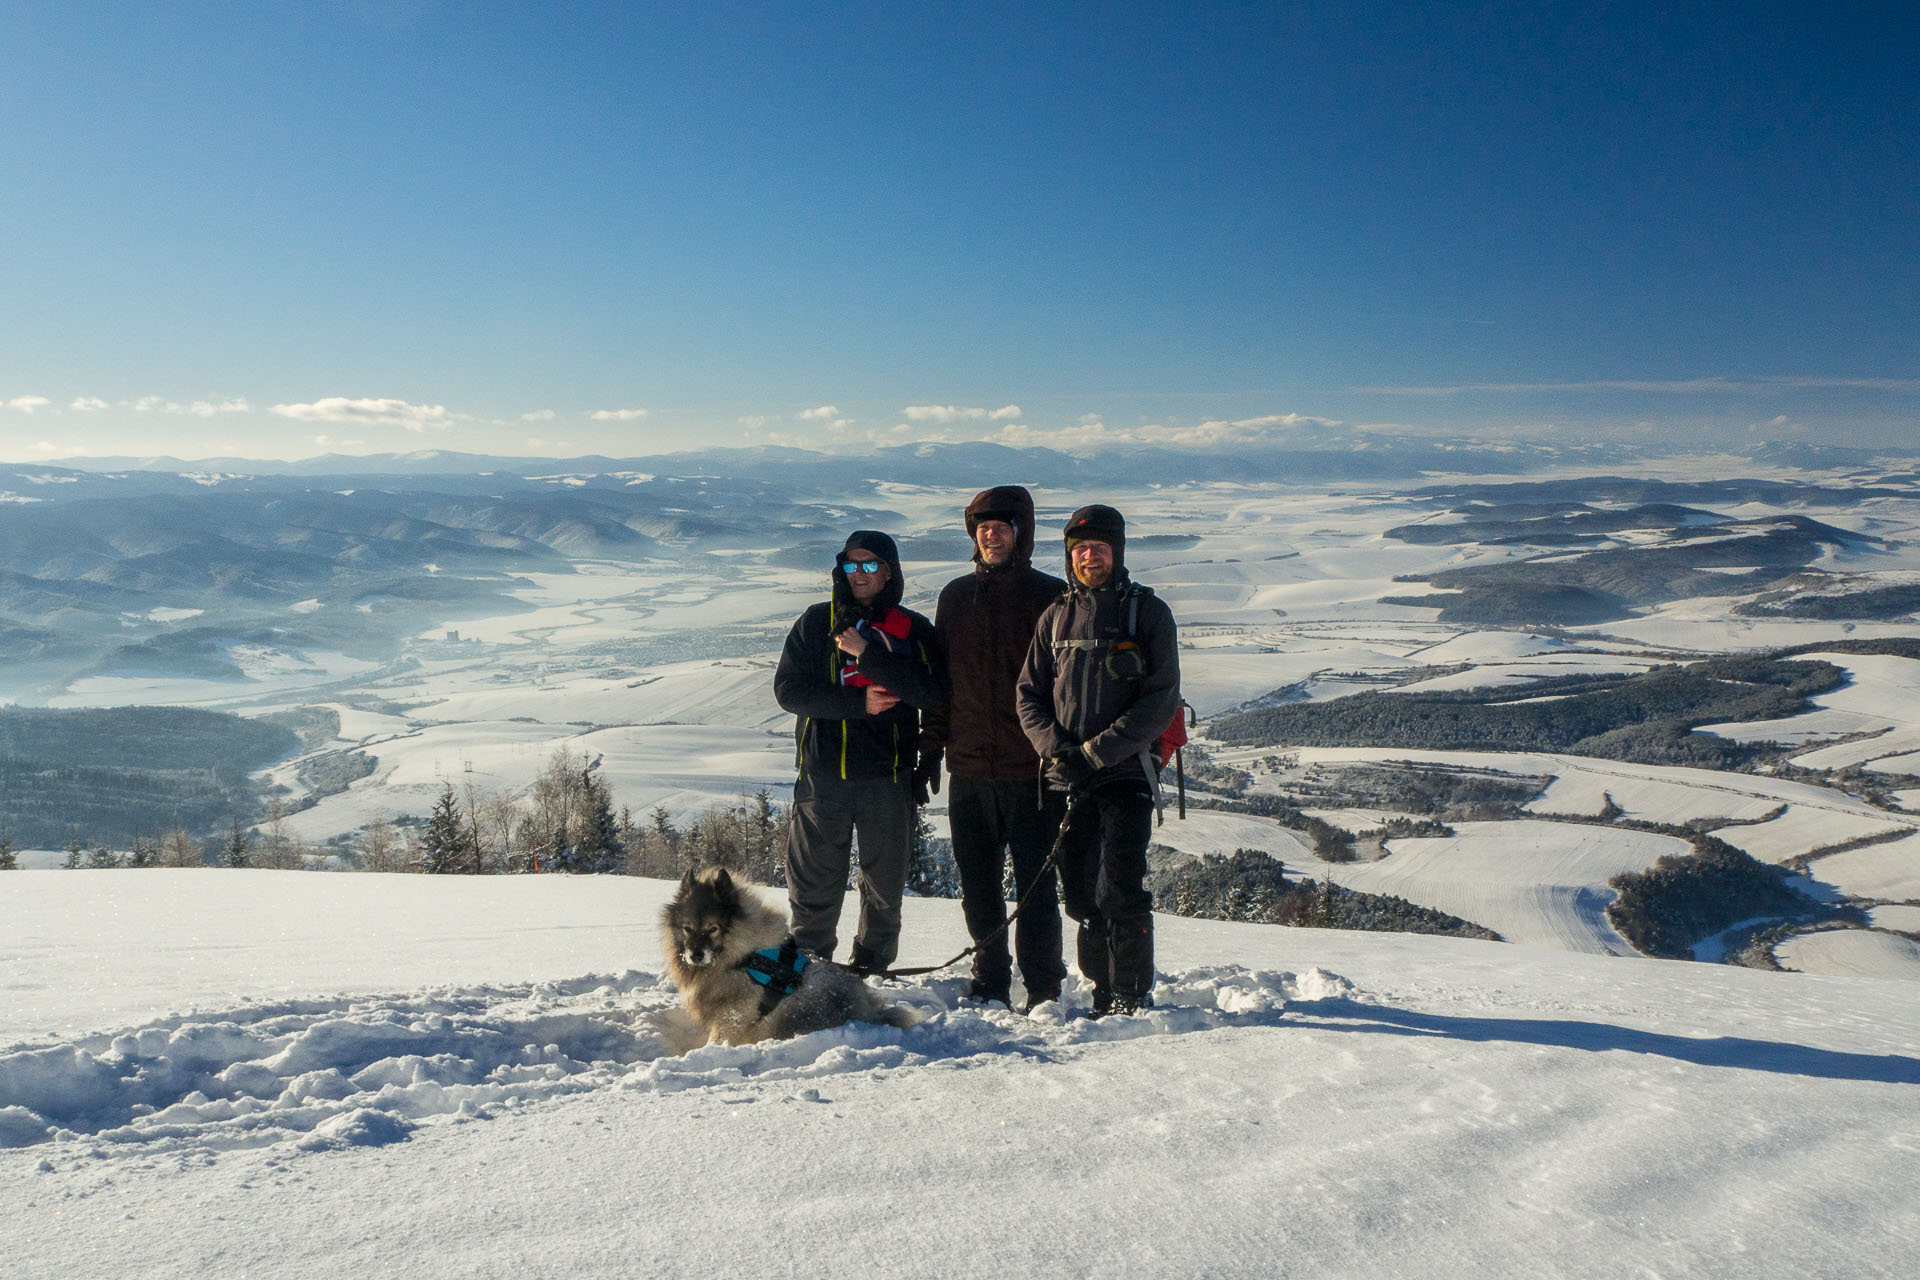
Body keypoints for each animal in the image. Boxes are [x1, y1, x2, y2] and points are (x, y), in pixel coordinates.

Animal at [656, 859, 917, 1051]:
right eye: (687, 928)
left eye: (713, 928)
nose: (695, 955)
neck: (741, 957)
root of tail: (873, 1012)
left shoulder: (733, 1018)